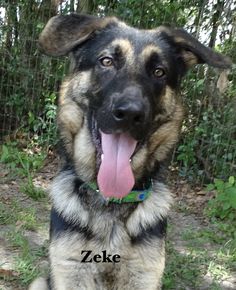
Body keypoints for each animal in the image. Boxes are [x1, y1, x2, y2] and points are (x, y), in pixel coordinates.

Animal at [29, 13, 230, 288]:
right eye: (106, 61)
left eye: (159, 72)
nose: (130, 113)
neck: (111, 203)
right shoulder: (69, 271)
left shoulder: (145, 274)